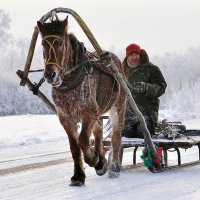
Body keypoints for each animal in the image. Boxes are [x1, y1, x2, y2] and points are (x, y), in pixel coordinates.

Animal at [36, 16, 126, 187]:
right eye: (43, 43)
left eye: (60, 43)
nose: (50, 75)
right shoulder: (65, 117)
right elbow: (75, 146)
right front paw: (79, 175)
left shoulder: (88, 112)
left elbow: (83, 140)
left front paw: (94, 159)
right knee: (99, 131)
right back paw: (102, 160)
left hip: (117, 107)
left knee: (116, 136)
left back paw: (114, 167)